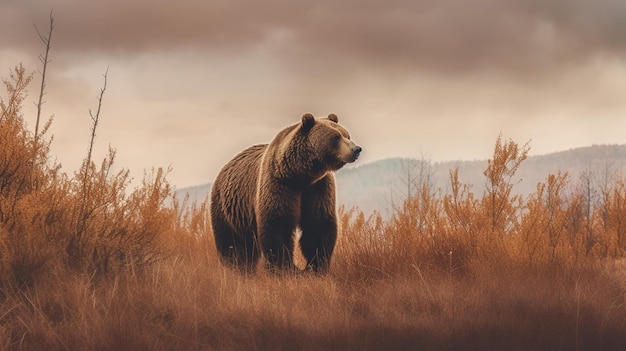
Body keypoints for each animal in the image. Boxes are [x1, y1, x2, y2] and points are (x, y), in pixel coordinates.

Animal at [208, 114, 360, 274]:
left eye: (347, 135)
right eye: (336, 137)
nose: (356, 149)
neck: (300, 175)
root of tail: (226, 166)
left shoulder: (317, 188)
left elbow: (317, 224)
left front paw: (315, 266)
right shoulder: (279, 184)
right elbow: (277, 224)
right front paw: (285, 267)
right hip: (228, 207)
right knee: (232, 243)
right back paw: (237, 268)